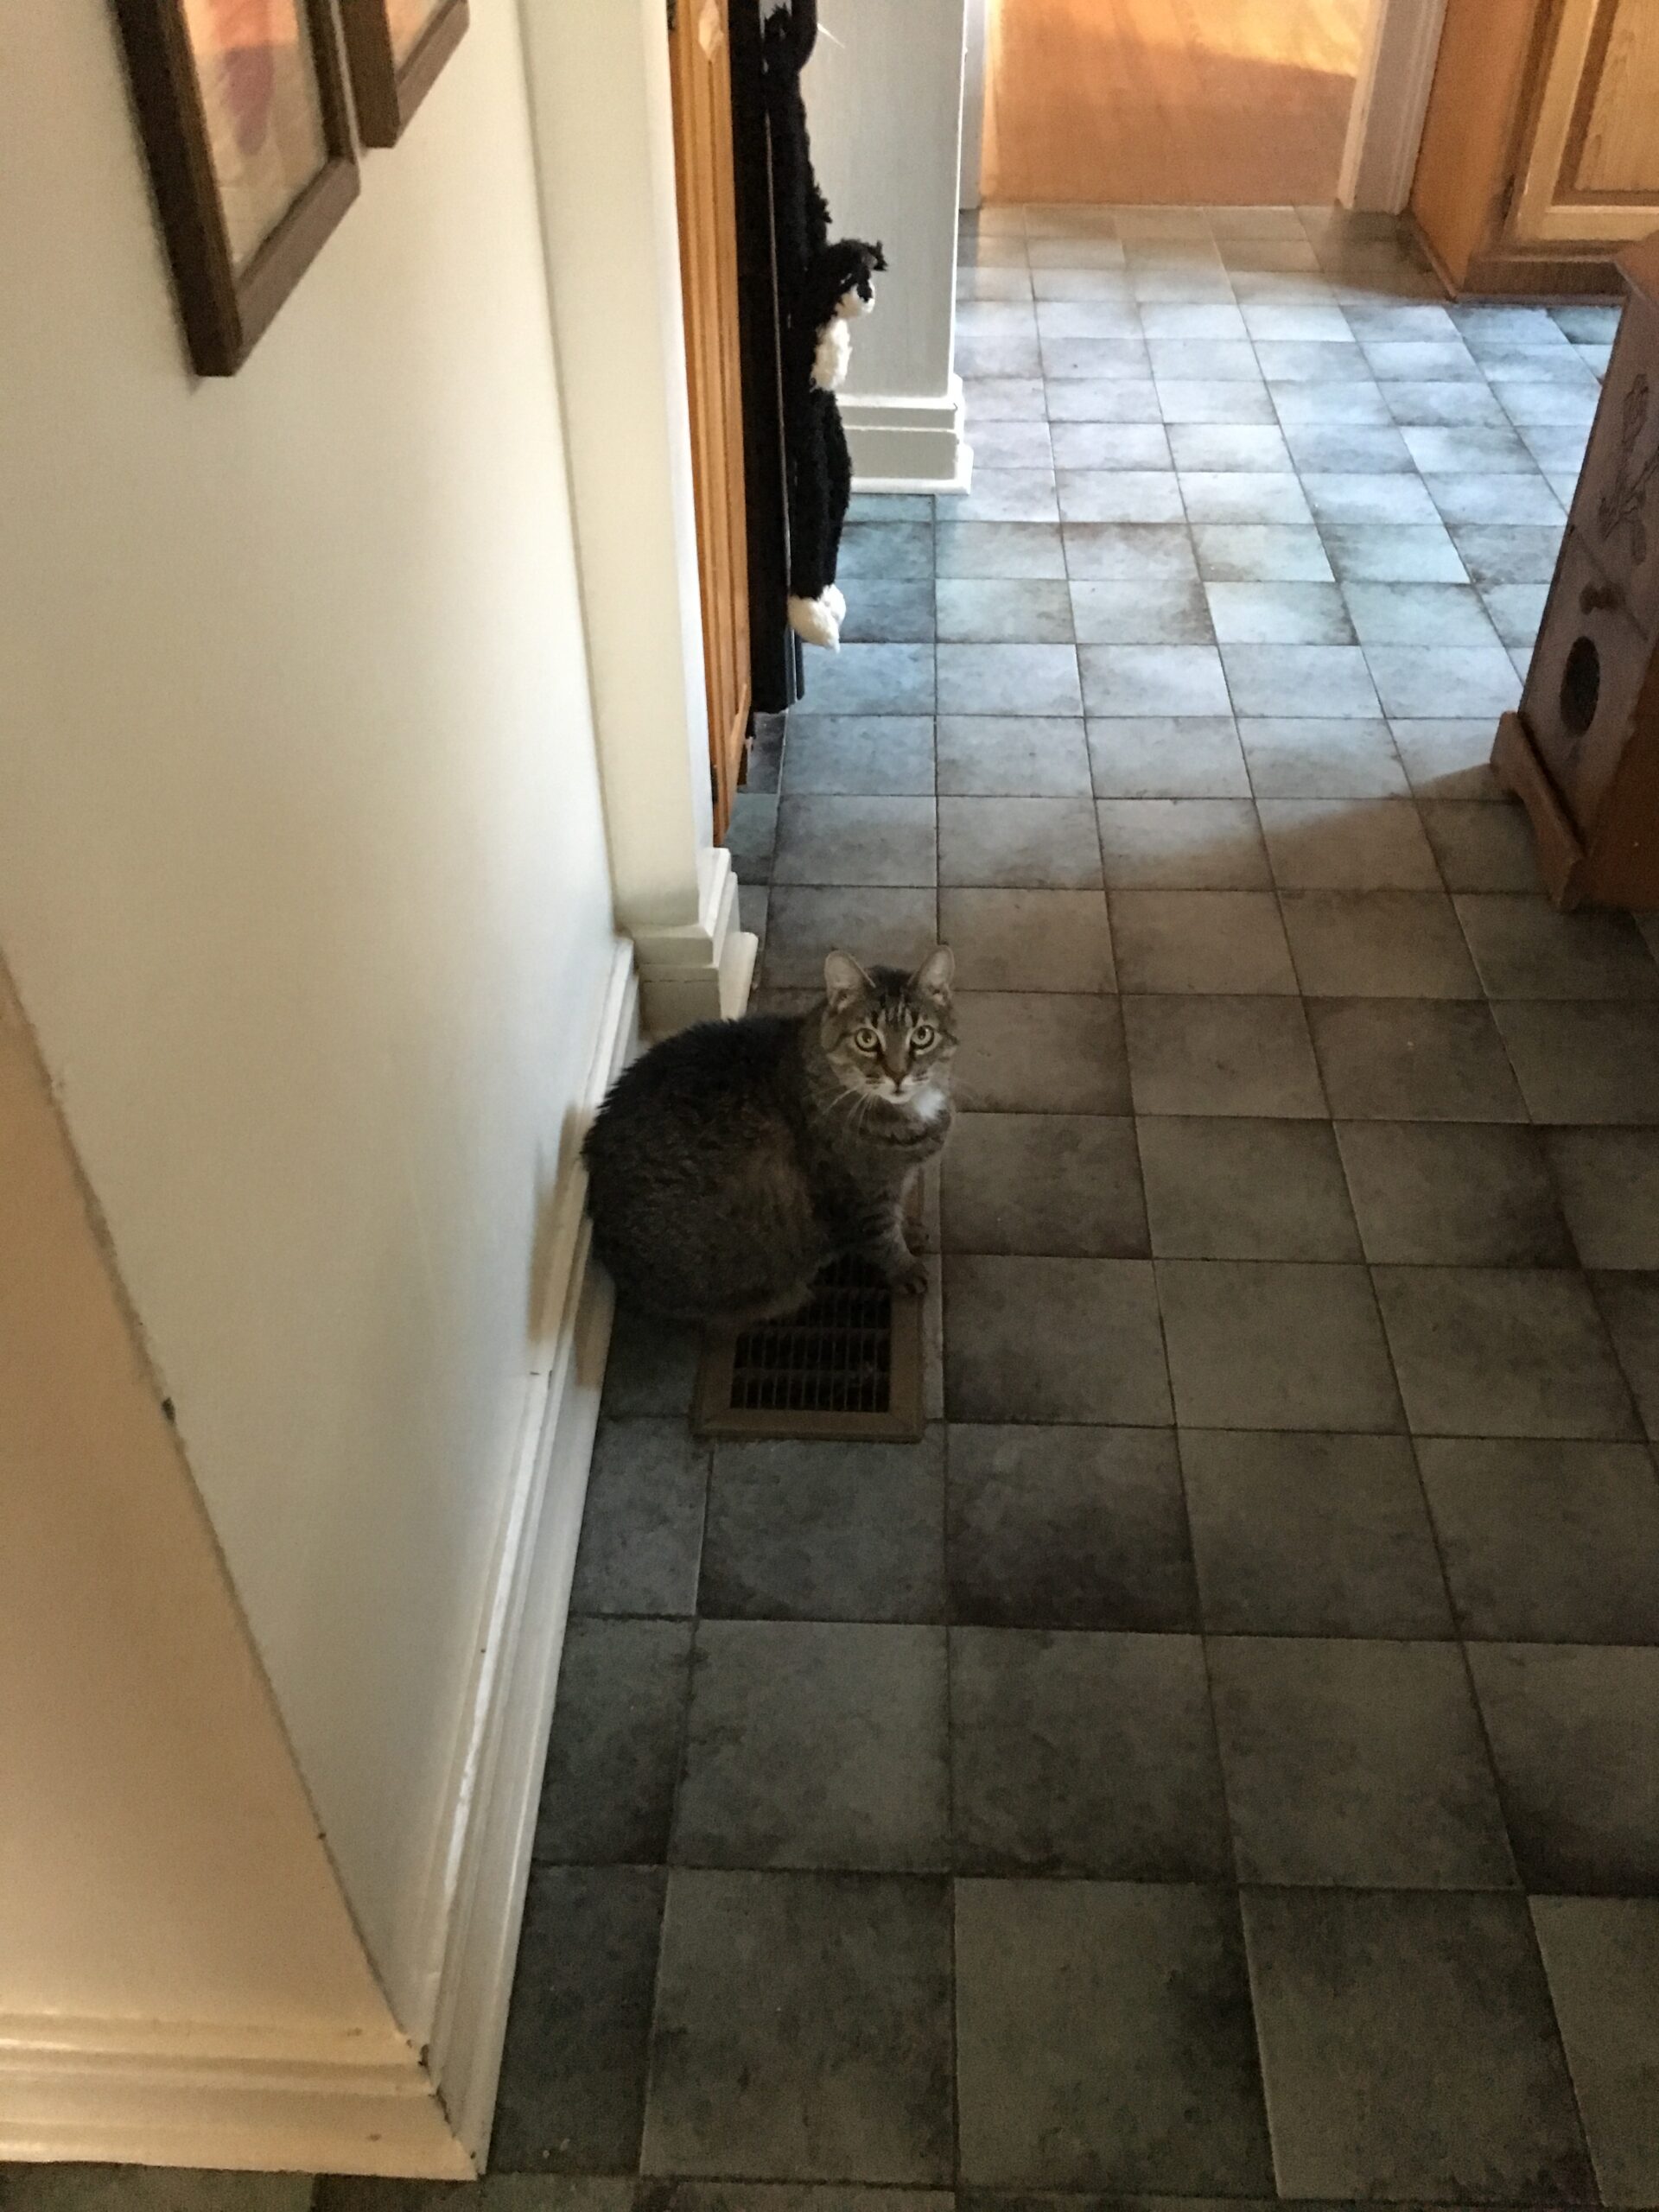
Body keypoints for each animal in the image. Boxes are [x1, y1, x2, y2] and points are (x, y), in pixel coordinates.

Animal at [583, 947, 956, 1325]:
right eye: (867, 1039)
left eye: (922, 1036)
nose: (898, 1074)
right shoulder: (861, 1195)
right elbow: (883, 1237)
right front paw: (906, 1269)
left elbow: (896, 1216)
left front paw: (911, 1231)